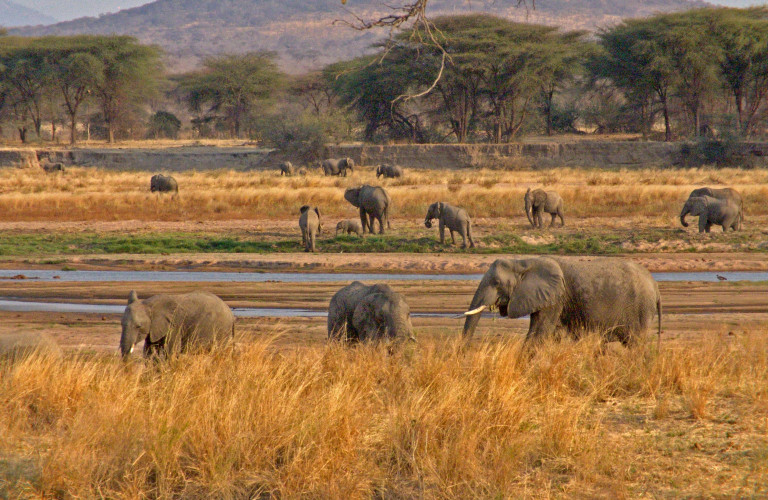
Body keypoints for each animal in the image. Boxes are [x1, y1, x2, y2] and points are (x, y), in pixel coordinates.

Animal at [462, 256, 660, 346]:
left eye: (496, 282)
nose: (463, 353)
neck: (523, 261)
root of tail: (655, 284)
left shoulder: (555, 298)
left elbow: (538, 332)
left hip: (640, 308)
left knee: (636, 344)